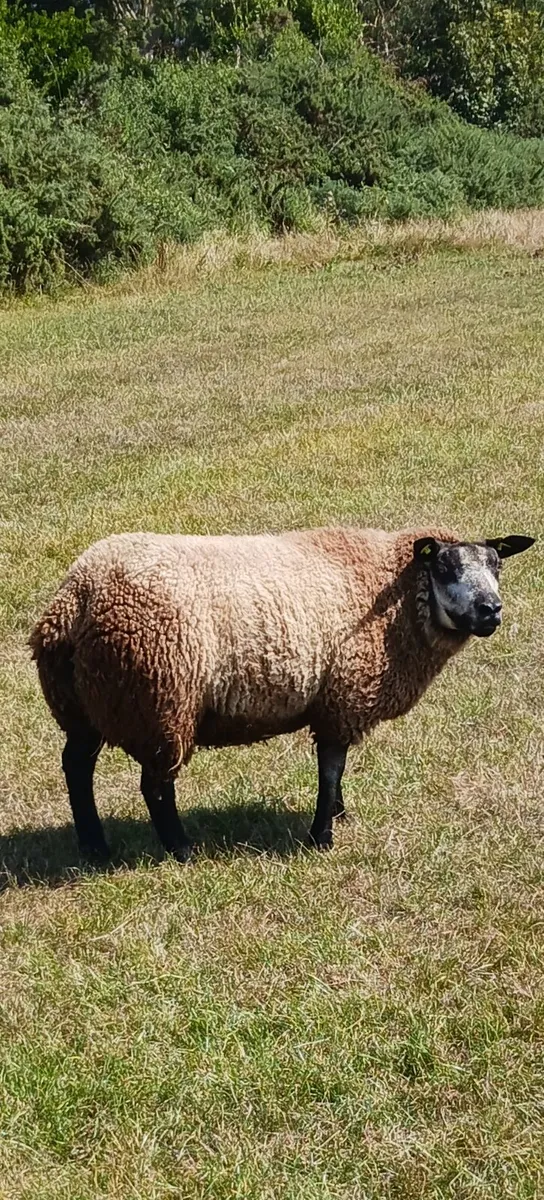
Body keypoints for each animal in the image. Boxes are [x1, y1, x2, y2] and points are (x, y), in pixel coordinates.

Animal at [30, 526, 534, 862]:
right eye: (445, 568)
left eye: (497, 565)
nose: (491, 610)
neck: (394, 596)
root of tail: (75, 598)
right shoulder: (343, 696)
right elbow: (331, 768)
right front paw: (322, 836)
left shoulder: (334, 702)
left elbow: (335, 770)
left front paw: (338, 814)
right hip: (159, 699)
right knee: (154, 785)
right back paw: (181, 848)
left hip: (86, 704)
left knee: (76, 766)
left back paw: (94, 845)